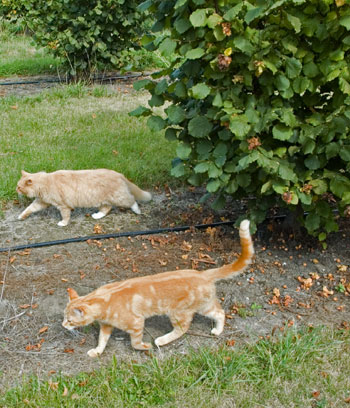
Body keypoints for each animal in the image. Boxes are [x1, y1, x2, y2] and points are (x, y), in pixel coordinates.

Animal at [16, 169, 151, 226]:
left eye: (19, 187)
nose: (15, 189)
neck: (46, 182)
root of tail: (119, 174)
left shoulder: (63, 206)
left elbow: (65, 216)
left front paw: (63, 223)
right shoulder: (41, 202)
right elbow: (29, 209)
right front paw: (21, 216)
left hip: (119, 197)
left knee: (132, 200)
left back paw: (137, 211)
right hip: (103, 200)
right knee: (106, 209)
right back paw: (97, 216)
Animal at [62, 220, 254, 356]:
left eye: (70, 321)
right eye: (64, 318)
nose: (63, 326)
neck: (104, 299)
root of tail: (202, 273)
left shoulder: (137, 322)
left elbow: (135, 342)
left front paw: (144, 346)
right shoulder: (106, 326)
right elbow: (102, 340)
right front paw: (97, 351)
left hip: (178, 313)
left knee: (183, 329)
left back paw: (161, 340)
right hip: (204, 306)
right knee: (220, 312)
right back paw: (218, 329)